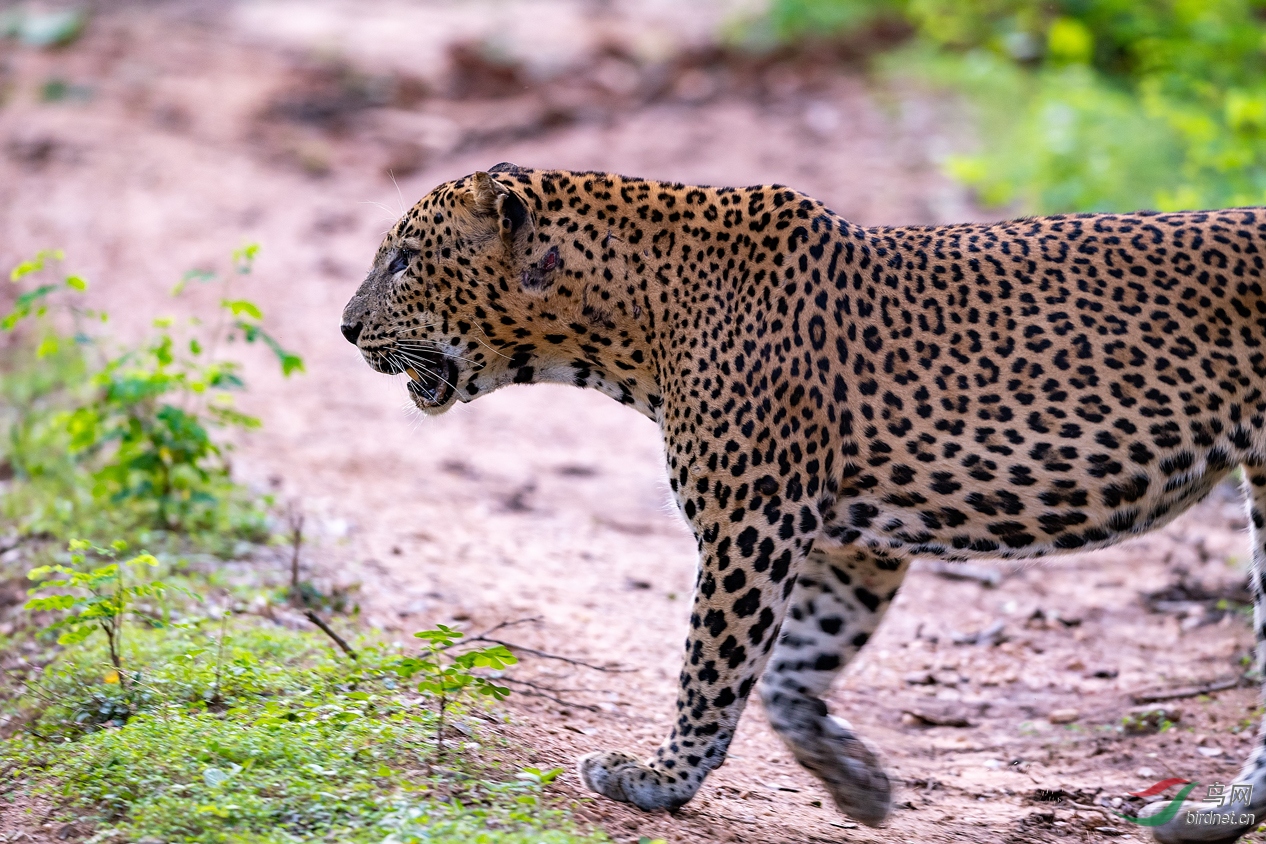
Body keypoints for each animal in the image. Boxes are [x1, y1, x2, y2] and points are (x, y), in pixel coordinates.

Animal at [341, 164, 1266, 844]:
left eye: (404, 259)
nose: (346, 329)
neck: (630, 323)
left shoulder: (751, 521)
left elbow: (712, 667)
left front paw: (659, 779)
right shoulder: (850, 543)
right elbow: (792, 672)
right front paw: (858, 782)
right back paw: (1213, 817)